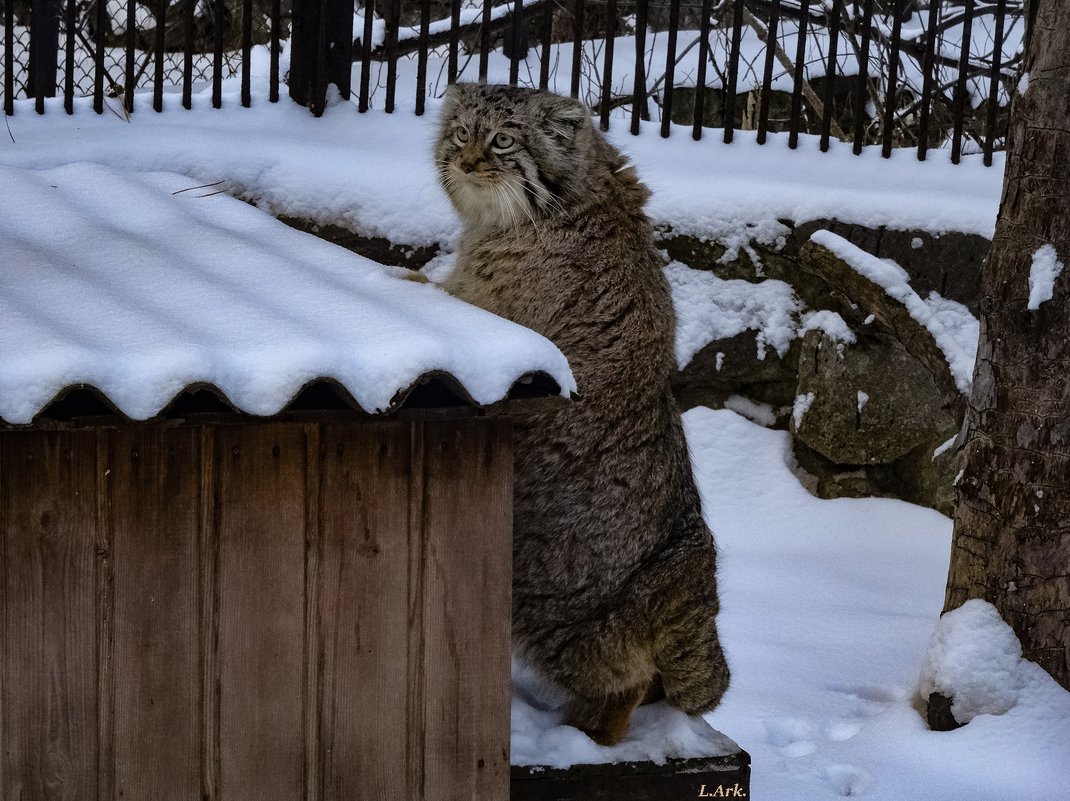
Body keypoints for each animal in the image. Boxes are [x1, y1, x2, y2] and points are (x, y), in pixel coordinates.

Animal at [434, 82, 727, 744]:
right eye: (461, 132)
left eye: (503, 140)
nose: (465, 163)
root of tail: (695, 577)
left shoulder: (493, 309)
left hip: (550, 608)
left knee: (627, 679)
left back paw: (583, 737)